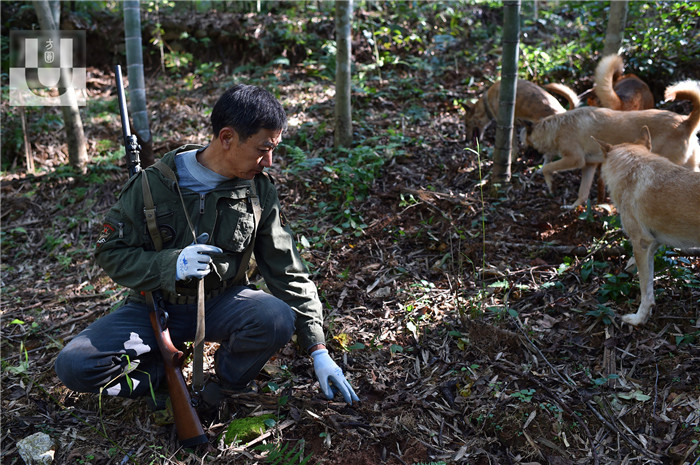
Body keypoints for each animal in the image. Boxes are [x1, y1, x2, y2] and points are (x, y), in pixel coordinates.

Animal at [528, 80, 696, 208]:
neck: (558, 124)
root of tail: (685, 122)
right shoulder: (589, 166)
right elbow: (583, 192)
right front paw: (573, 207)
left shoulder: (574, 159)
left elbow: (547, 168)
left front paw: (549, 183)